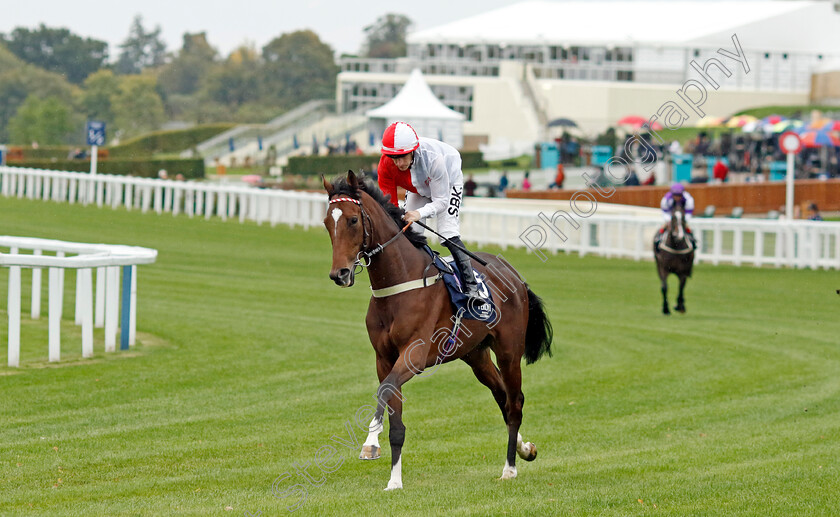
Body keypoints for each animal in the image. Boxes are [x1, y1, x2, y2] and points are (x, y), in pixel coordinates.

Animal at [320, 171, 552, 490]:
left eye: (353, 220)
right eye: (326, 222)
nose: (339, 274)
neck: (398, 285)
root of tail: (515, 276)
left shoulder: (414, 356)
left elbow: (384, 390)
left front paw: (370, 444)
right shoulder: (384, 359)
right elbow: (394, 417)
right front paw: (394, 481)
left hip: (509, 350)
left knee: (515, 401)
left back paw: (510, 468)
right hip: (476, 355)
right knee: (502, 397)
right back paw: (524, 448)